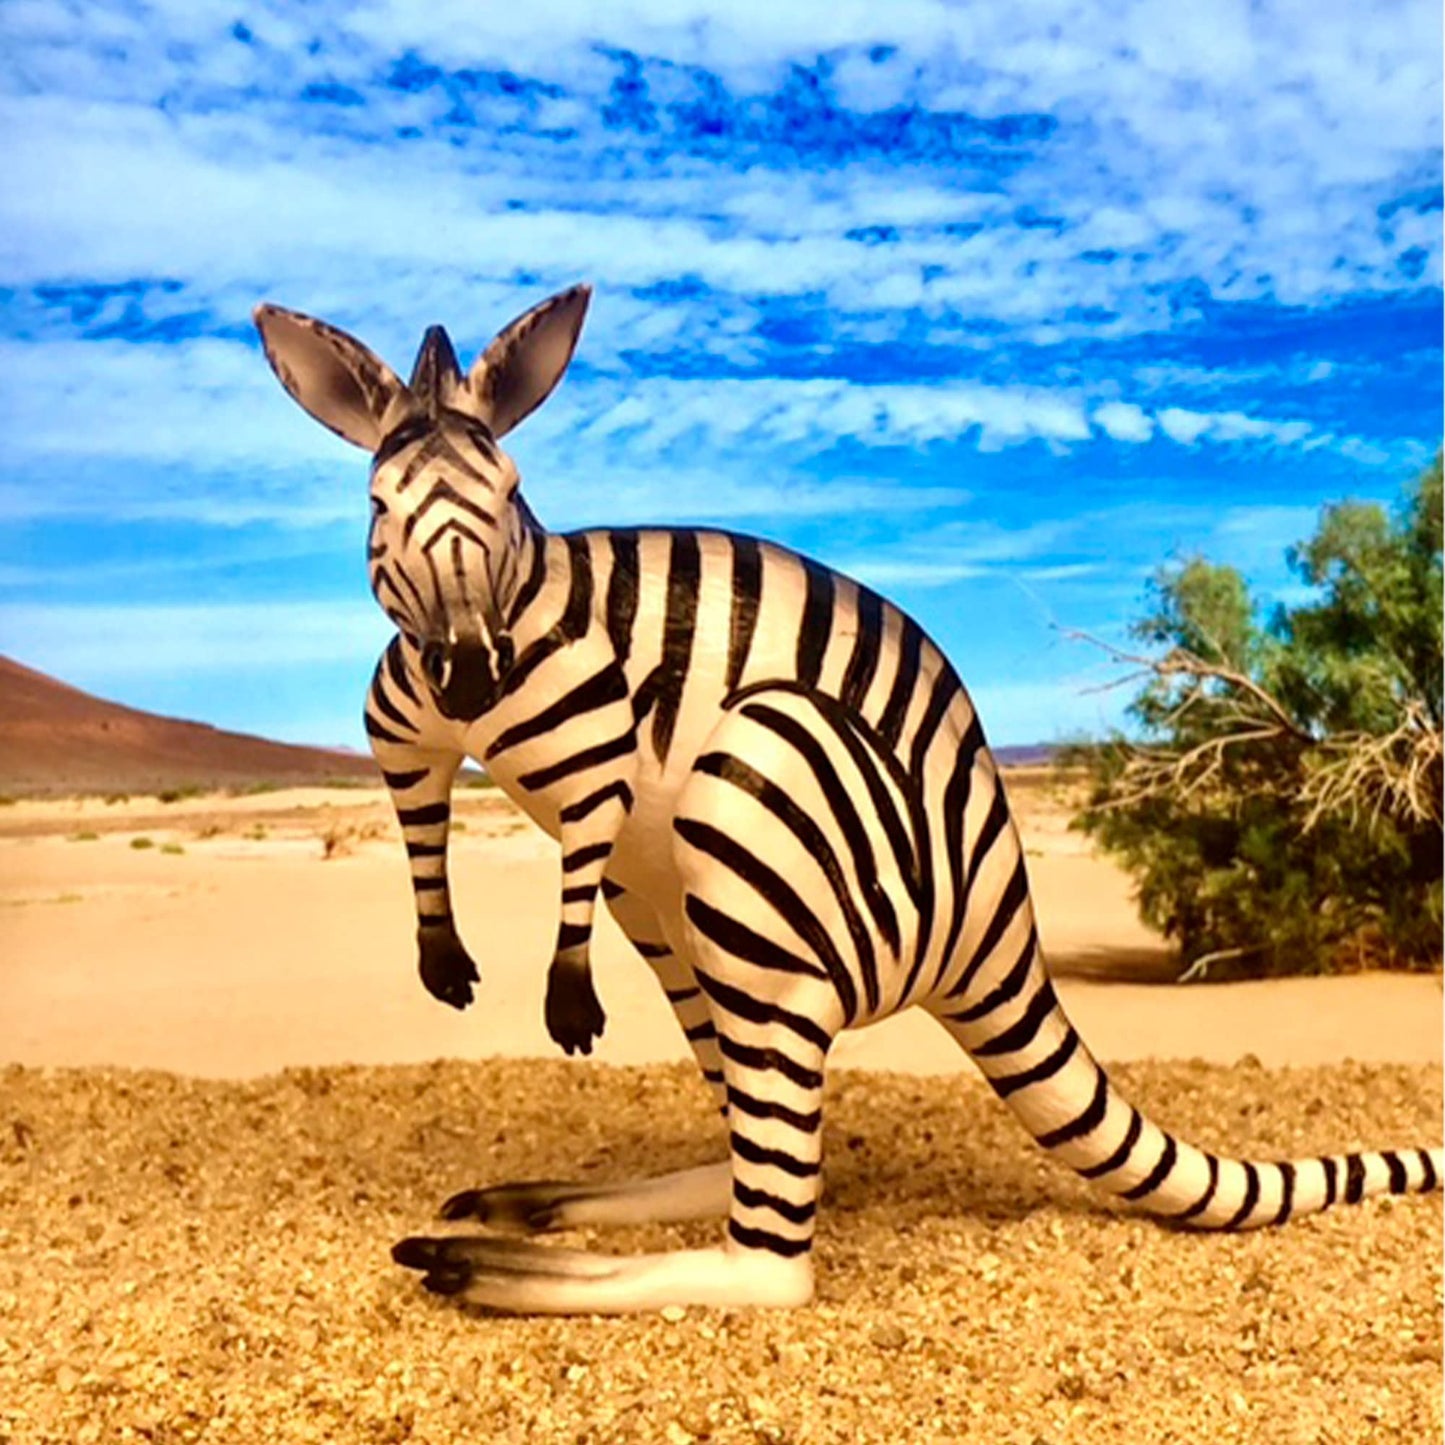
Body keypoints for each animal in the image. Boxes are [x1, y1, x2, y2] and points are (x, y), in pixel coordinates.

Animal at [253, 284, 1443, 1315]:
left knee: (773, 1259)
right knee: (749, 1154)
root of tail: (997, 923)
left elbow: (573, 858)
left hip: (758, 795)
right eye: (378, 506)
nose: (467, 668)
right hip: (681, 921)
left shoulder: (598, 746)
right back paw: (543, 1206)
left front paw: (564, 1000)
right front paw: (442, 958)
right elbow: (420, 832)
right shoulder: (404, 734)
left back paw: (491, 1266)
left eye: (502, 497)